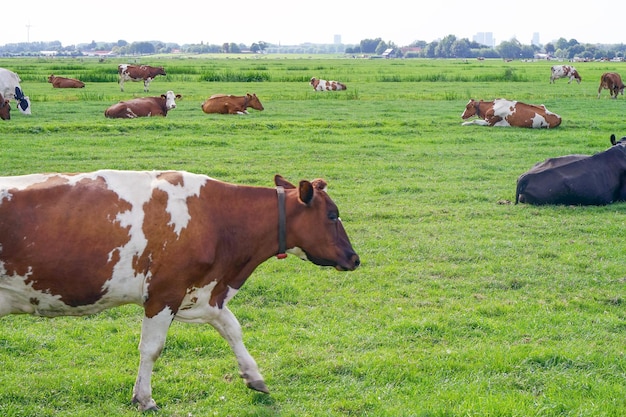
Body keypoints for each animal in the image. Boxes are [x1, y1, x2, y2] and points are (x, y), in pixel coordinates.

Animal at [0, 170, 358, 410]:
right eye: (332, 215)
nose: (355, 258)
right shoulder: (164, 292)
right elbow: (151, 348)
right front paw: (144, 398)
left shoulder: (205, 293)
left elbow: (232, 329)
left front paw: (253, 375)